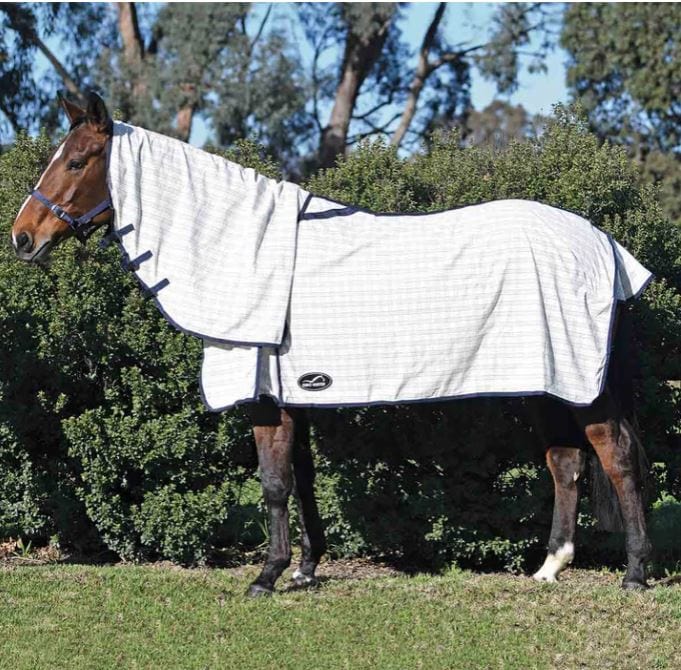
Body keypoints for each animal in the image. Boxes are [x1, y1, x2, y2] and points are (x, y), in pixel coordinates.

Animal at [10, 92, 653, 595]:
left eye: (76, 161)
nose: (22, 238)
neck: (242, 248)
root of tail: (603, 243)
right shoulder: (292, 393)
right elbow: (300, 479)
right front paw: (304, 569)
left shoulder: (264, 397)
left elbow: (273, 483)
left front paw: (267, 576)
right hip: (548, 381)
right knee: (565, 463)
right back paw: (549, 567)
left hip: (582, 386)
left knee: (617, 458)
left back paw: (635, 573)